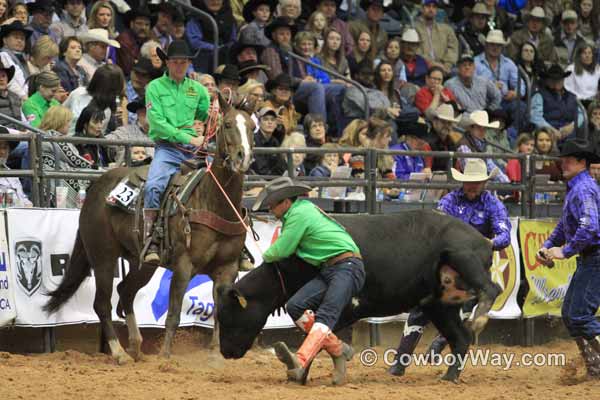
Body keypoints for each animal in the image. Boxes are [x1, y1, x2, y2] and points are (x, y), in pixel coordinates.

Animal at [43, 101, 254, 364]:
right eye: (227, 124)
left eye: (252, 127)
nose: (243, 157)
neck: (213, 201)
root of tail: (95, 189)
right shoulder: (184, 266)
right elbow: (173, 314)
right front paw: (165, 357)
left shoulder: (227, 269)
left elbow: (219, 313)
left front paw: (216, 355)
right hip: (103, 257)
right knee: (102, 304)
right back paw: (119, 353)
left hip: (142, 263)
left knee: (125, 291)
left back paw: (136, 345)